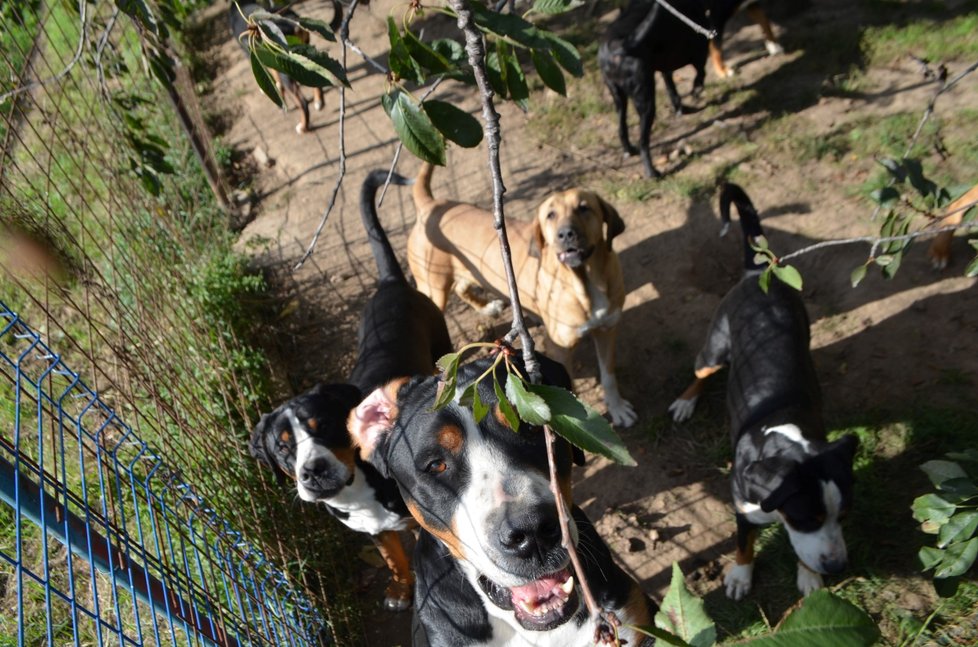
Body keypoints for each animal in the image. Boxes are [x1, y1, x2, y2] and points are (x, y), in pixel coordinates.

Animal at [228, 0, 342, 133]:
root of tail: (293, 22)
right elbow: (277, 83)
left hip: (285, 68)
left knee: (303, 102)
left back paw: (303, 127)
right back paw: (319, 102)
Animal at [250, 170, 452, 612]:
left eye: (323, 426)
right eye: (283, 447)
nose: (312, 470)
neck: (357, 490)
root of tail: (390, 283)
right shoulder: (375, 530)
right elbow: (392, 557)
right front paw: (400, 589)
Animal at [408, 161, 636, 430]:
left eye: (584, 208)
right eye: (550, 215)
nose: (565, 234)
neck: (585, 282)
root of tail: (430, 204)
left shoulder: (607, 329)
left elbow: (608, 375)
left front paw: (617, 407)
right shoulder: (560, 349)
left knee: (462, 287)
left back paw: (488, 307)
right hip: (433, 288)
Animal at [668, 184, 856, 604]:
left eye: (843, 515)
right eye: (807, 518)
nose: (838, 567)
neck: (782, 434)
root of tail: (759, 273)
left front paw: (809, 578)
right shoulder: (741, 508)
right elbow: (744, 544)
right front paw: (740, 577)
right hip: (715, 350)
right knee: (700, 370)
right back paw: (685, 402)